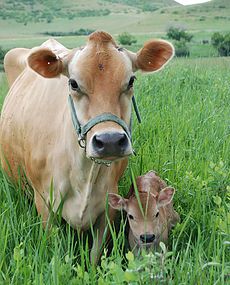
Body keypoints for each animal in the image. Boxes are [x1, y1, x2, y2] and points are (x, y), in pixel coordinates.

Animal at [0, 31, 173, 262]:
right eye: (73, 83)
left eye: (130, 80)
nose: (110, 141)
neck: (83, 174)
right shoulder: (44, 203)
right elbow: (57, 251)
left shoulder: (108, 205)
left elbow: (95, 253)